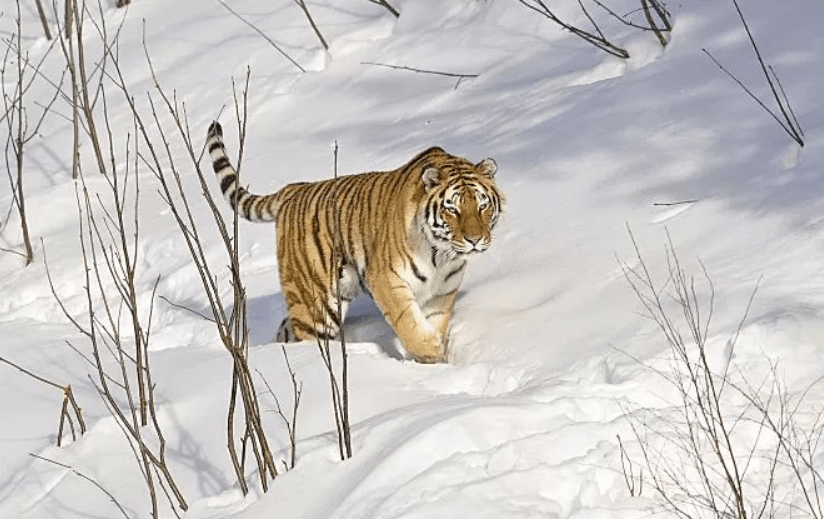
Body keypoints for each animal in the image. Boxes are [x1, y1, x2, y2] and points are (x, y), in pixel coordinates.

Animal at [206, 123, 502, 366]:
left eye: (482, 205)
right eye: (452, 209)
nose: (475, 240)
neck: (442, 256)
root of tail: (294, 188)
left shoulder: (442, 292)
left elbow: (434, 323)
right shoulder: (386, 278)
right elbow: (409, 323)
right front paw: (431, 354)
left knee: (286, 328)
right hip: (317, 305)